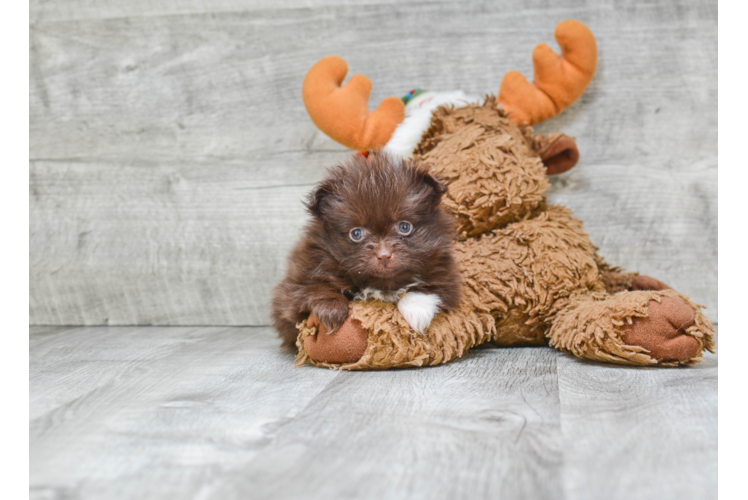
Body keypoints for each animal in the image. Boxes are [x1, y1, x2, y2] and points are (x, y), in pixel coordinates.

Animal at [272, 153, 462, 348]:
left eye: (404, 227)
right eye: (356, 233)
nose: (384, 255)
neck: (382, 283)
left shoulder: (445, 273)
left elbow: (429, 287)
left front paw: (416, 311)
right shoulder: (295, 283)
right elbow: (313, 288)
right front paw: (331, 310)